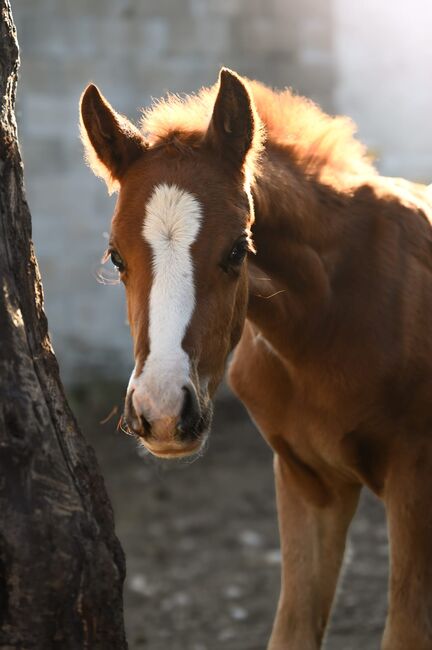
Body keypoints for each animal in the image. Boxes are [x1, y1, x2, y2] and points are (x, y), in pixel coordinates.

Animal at [80, 68, 432, 644]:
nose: (162, 413)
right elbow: (292, 631)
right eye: (115, 256)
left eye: (237, 249)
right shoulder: (309, 485)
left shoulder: (415, 482)